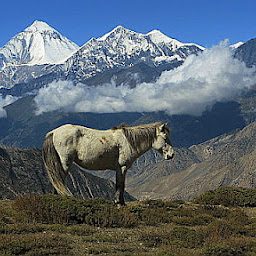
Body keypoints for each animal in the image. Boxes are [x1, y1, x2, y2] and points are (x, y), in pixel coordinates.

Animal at [42, 122, 174, 206]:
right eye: (165, 138)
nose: (171, 155)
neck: (127, 141)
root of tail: (53, 132)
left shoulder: (119, 169)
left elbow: (120, 185)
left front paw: (120, 202)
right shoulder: (122, 168)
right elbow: (120, 186)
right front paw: (120, 203)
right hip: (64, 163)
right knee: (58, 179)